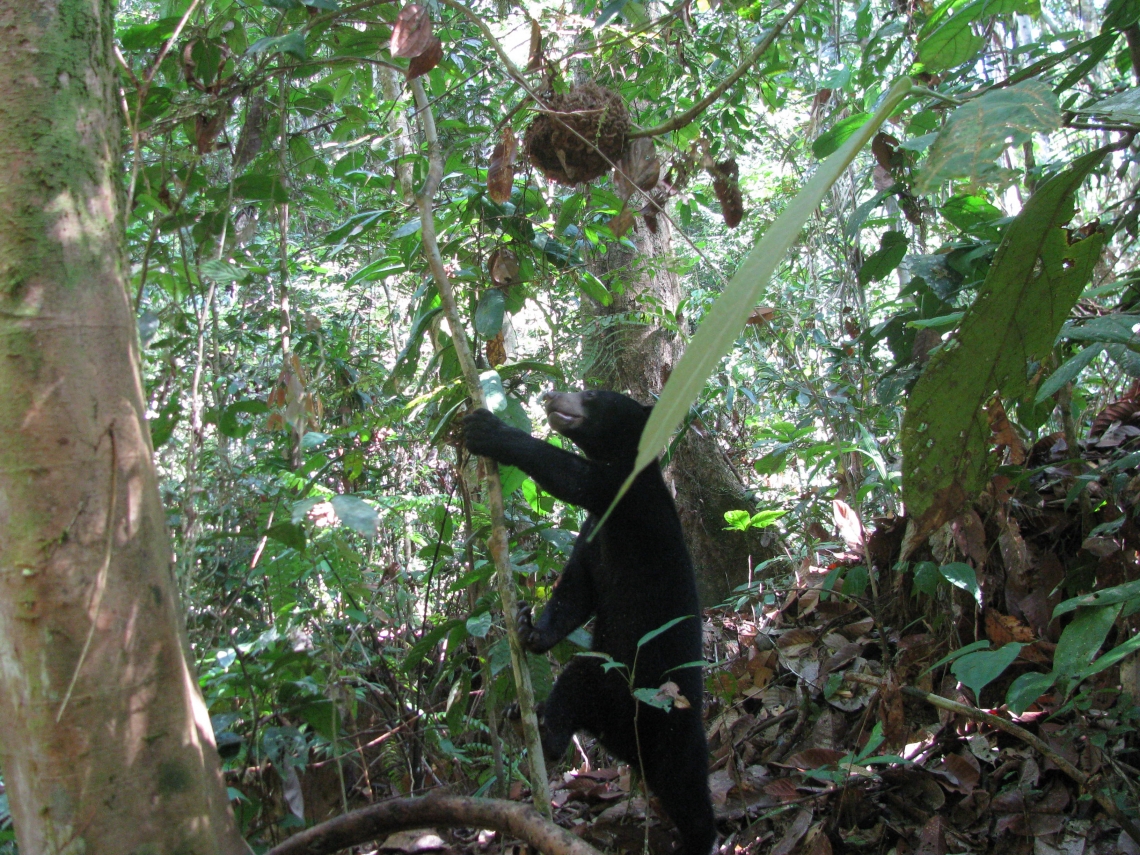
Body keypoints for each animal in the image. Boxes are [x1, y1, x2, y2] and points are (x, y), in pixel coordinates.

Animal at [462, 389, 711, 855]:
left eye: (592, 395)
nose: (549, 395)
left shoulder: (625, 497)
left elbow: (571, 476)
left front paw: (487, 430)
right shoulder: (593, 533)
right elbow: (578, 589)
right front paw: (530, 631)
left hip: (653, 709)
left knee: (689, 791)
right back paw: (528, 717)